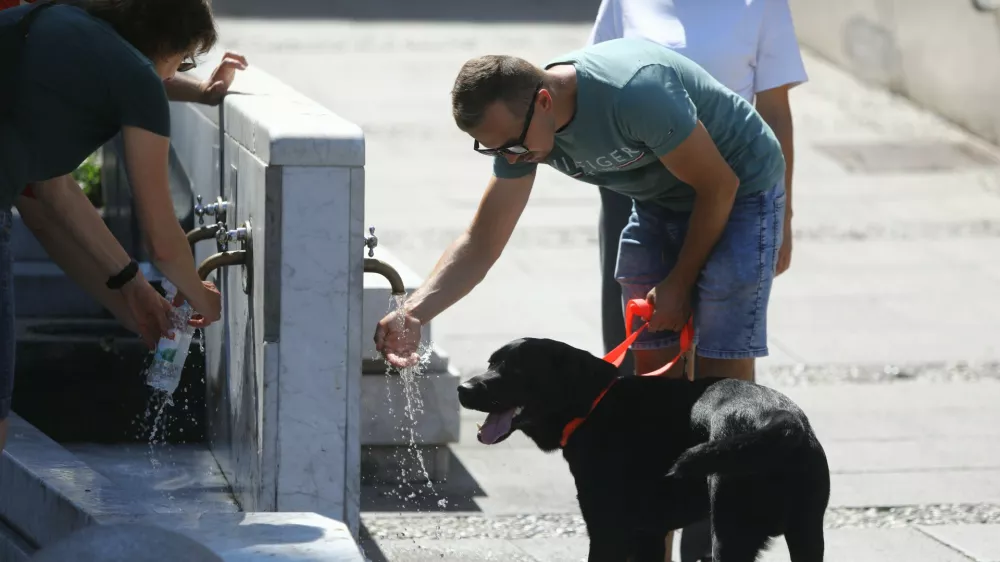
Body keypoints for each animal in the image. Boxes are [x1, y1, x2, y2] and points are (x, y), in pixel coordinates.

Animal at [458, 336, 832, 560]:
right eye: (490, 363)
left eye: (516, 370)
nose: (463, 388)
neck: (593, 405)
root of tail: (782, 419)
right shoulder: (648, 531)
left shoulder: (607, 529)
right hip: (807, 530)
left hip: (730, 533)